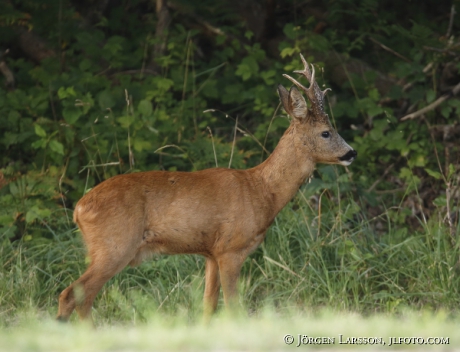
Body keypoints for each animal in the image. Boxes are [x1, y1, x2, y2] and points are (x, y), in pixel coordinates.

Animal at [56, 53, 356, 324]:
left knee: (84, 297)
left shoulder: (211, 253)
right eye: (326, 133)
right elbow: (234, 307)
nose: (351, 153)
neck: (262, 191)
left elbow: (208, 305)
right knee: (72, 294)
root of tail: (79, 209)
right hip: (115, 245)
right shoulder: (231, 249)